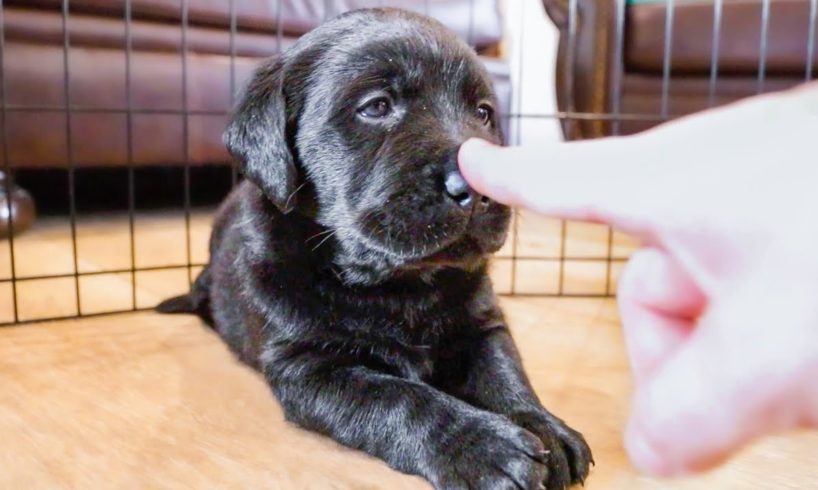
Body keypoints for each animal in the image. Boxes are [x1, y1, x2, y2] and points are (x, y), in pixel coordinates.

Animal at [159, 7, 588, 490]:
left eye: (483, 113)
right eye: (377, 106)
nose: (479, 189)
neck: (399, 285)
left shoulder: (482, 325)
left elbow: (504, 370)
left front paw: (543, 426)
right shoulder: (308, 368)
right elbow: (398, 398)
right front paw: (483, 446)